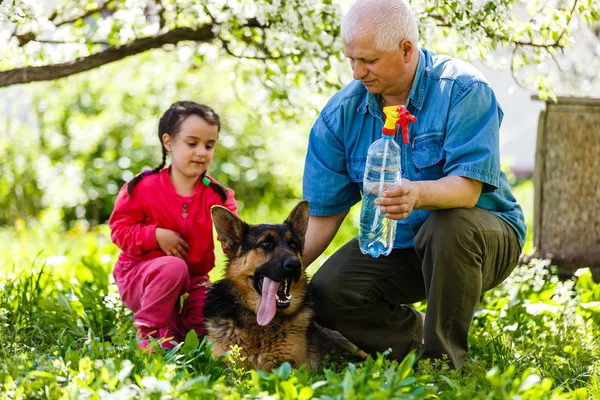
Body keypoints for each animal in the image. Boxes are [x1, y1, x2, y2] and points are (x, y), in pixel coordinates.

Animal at [205, 202, 366, 370]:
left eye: (293, 245)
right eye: (265, 243)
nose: (295, 265)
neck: (258, 321)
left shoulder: (291, 365)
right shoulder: (220, 364)